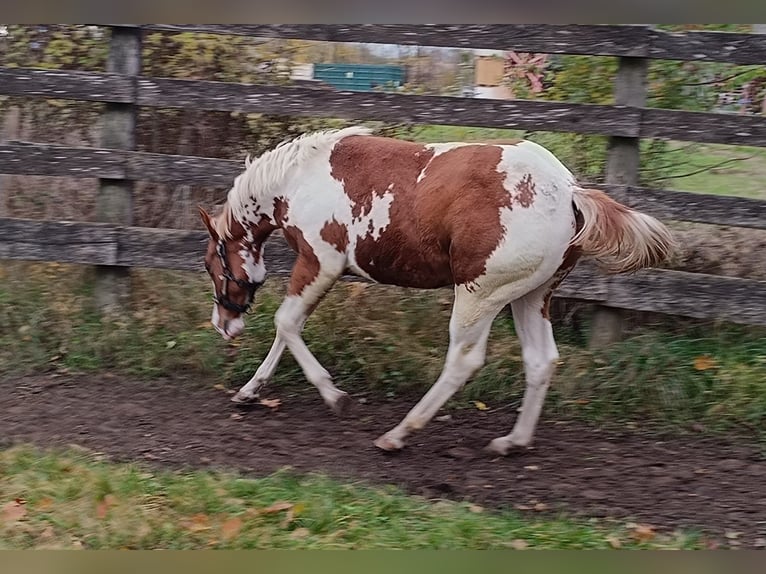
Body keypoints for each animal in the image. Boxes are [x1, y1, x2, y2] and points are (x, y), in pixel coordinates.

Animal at [198, 126, 675, 454]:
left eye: (210, 265)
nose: (223, 324)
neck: (299, 179)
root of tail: (570, 191)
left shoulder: (321, 262)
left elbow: (286, 322)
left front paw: (335, 397)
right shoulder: (316, 268)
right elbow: (288, 328)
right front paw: (248, 392)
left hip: (479, 294)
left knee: (464, 362)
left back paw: (398, 434)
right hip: (531, 296)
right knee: (542, 361)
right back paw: (512, 442)